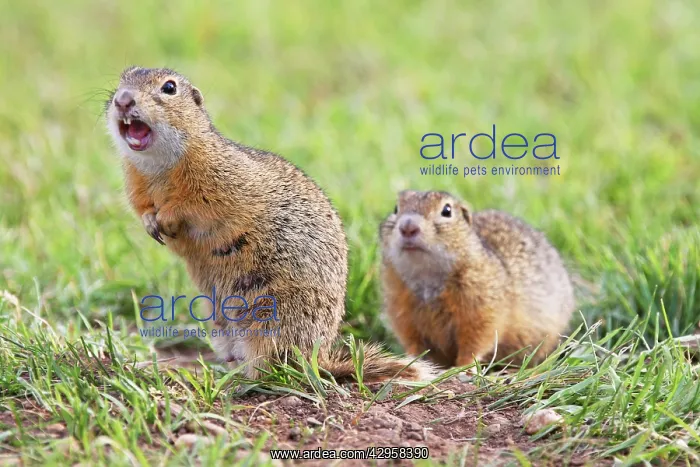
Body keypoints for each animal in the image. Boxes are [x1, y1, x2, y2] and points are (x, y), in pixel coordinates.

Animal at [105, 66, 434, 381]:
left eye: (169, 87)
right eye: (122, 78)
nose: (123, 99)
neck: (157, 166)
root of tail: (319, 360)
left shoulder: (220, 182)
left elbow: (193, 205)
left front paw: (167, 218)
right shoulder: (136, 188)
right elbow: (143, 209)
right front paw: (151, 223)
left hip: (272, 319)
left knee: (270, 367)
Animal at [379, 190, 574, 368]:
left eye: (447, 210)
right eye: (396, 208)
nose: (408, 227)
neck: (426, 276)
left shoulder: (482, 306)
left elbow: (476, 341)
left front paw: (463, 368)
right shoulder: (402, 312)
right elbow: (413, 343)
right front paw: (410, 362)